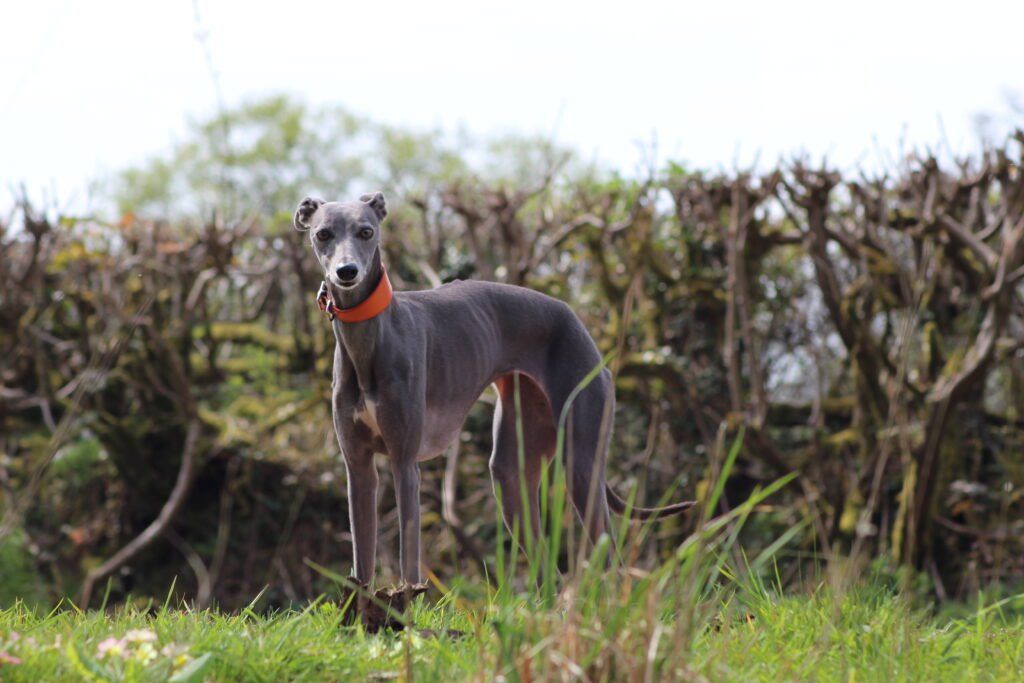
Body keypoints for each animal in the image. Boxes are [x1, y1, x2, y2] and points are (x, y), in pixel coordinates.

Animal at [296, 189, 696, 585]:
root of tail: (581, 327)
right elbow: (362, 566)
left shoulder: (404, 462)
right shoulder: (358, 468)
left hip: (582, 460)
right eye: (323, 234)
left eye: (366, 232)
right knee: (545, 567)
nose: (347, 272)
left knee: (608, 554)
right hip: (511, 471)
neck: (370, 341)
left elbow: (409, 560)